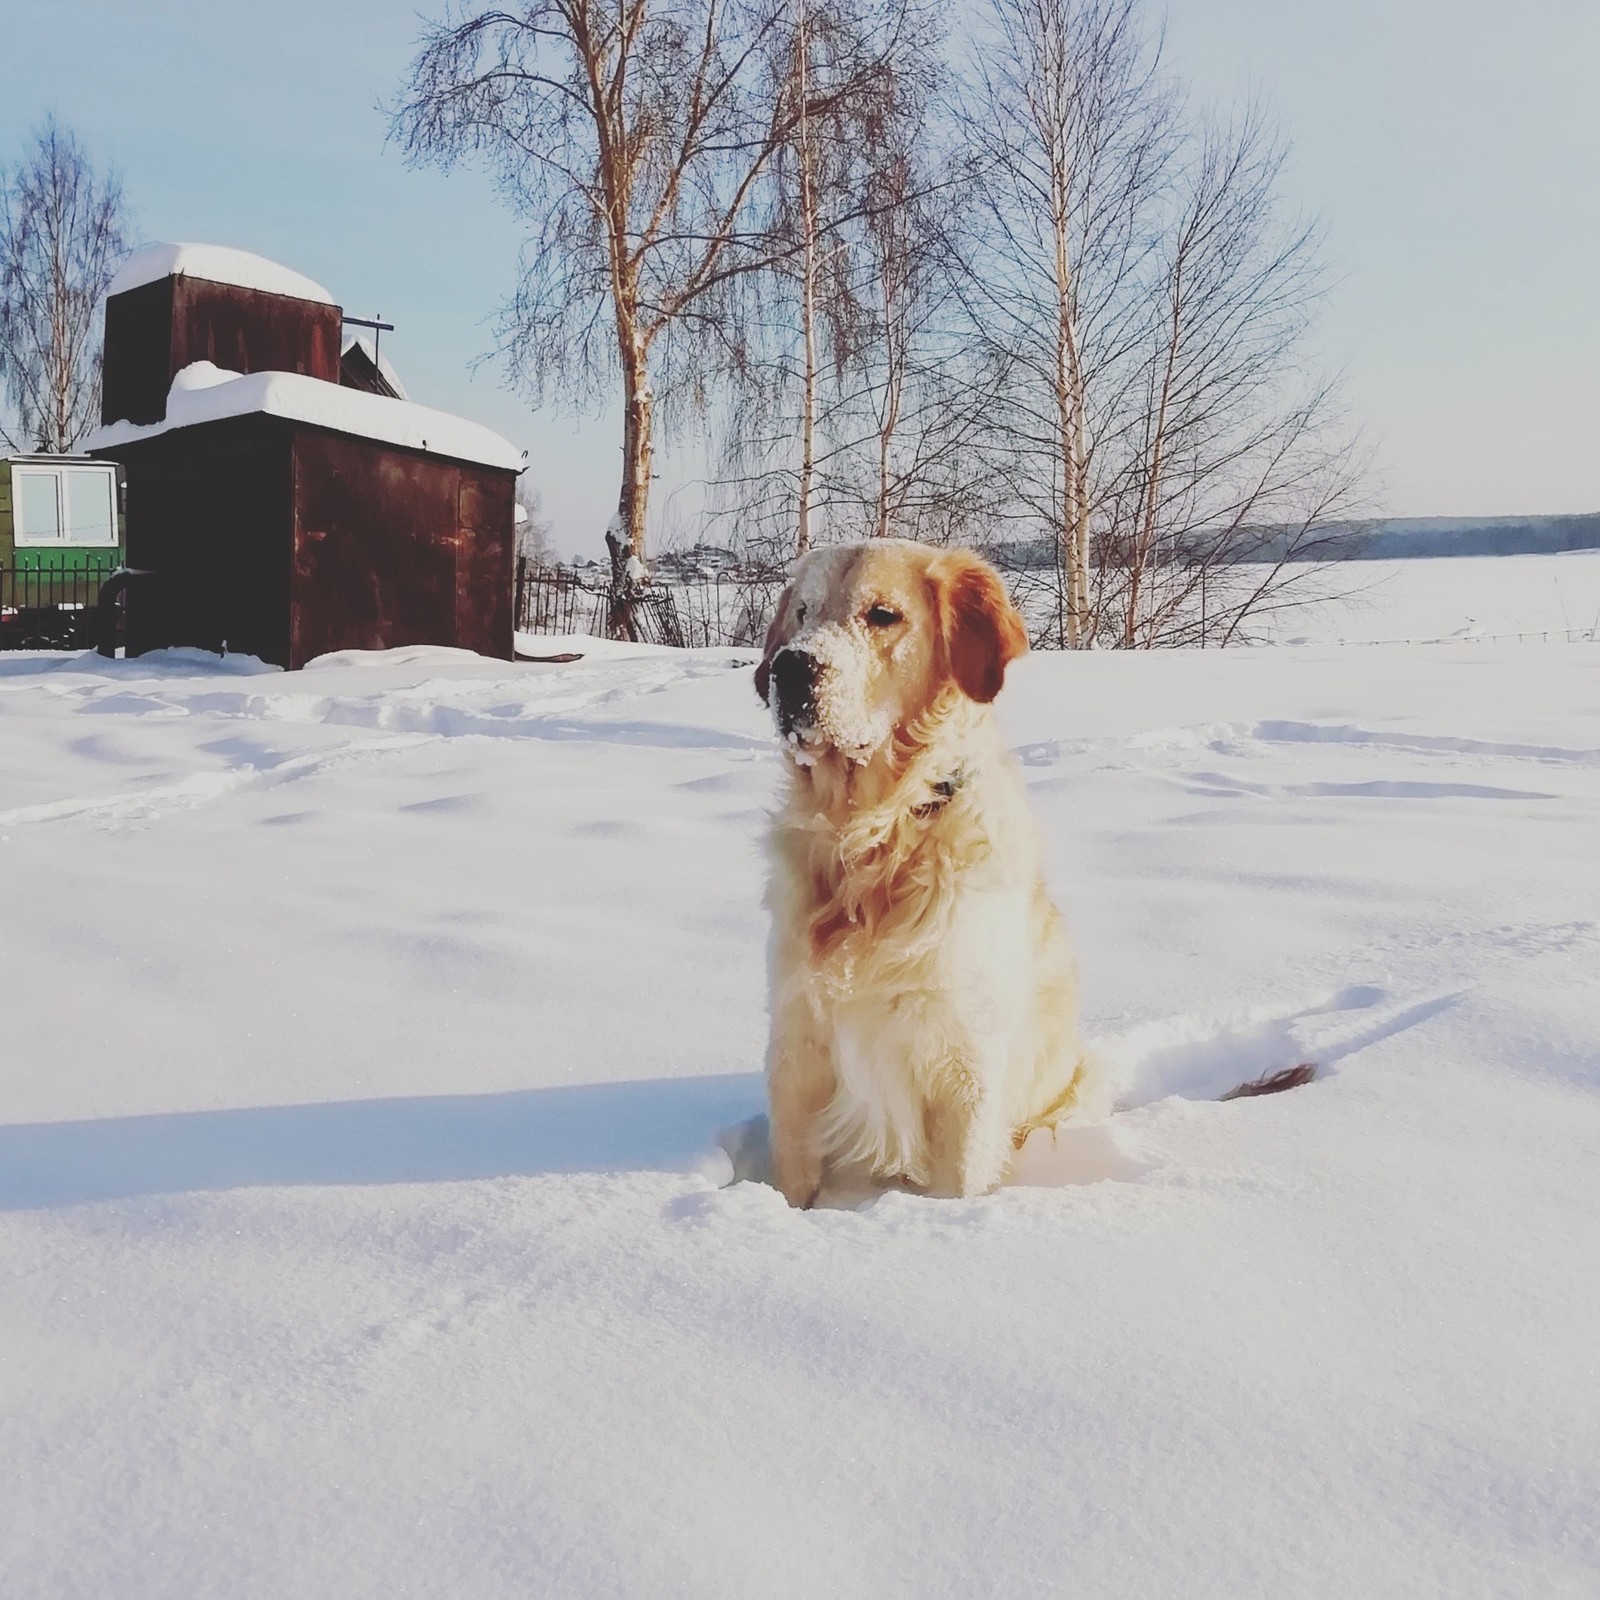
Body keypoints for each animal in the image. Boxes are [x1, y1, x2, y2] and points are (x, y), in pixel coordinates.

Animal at [755, 544, 1107, 1203]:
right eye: (802, 613)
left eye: (883, 614)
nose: (791, 669)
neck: (876, 836)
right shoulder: (797, 1044)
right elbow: (793, 1175)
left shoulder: (964, 1064)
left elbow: (960, 1182)